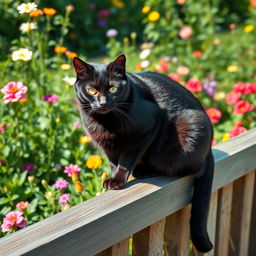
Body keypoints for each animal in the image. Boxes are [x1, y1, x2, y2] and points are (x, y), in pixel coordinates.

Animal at [73, 54, 214, 252]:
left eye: (114, 89)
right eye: (92, 90)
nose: (102, 103)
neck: (105, 122)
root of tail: (209, 152)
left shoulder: (145, 130)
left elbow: (125, 161)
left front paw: (117, 181)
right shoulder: (107, 146)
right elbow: (113, 162)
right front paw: (111, 179)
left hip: (191, 125)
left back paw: (145, 171)